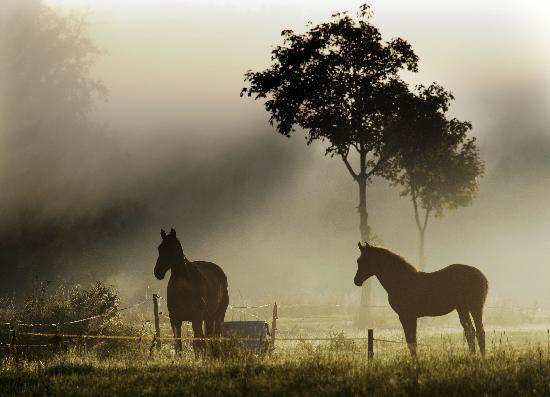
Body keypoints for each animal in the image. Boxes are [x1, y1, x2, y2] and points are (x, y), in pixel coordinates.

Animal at [356, 241, 490, 356]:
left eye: (363, 260)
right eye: (358, 261)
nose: (356, 281)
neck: (401, 281)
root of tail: (482, 276)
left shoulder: (407, 316)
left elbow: (411, 342)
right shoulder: (407, 316)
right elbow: (411, 341)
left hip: (475, 307)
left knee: (480, 332)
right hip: (462, 308)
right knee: (470, 332)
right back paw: (473, 357)